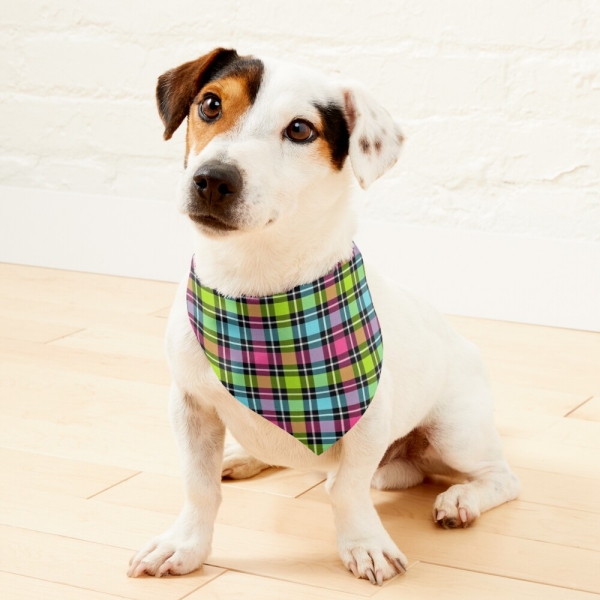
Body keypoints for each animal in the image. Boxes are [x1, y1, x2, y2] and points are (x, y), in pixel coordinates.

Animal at [127, 48, 520, 584]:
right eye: (210, 104)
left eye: (299, 130)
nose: (213, 179)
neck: (256, 290)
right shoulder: (190, 405)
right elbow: (199, 486)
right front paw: (185, 545)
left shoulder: (368, 420)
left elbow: (347, 490)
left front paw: (365, 544)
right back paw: (244, 457)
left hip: (456, 432)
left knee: (500, 477)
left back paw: (461, 499)